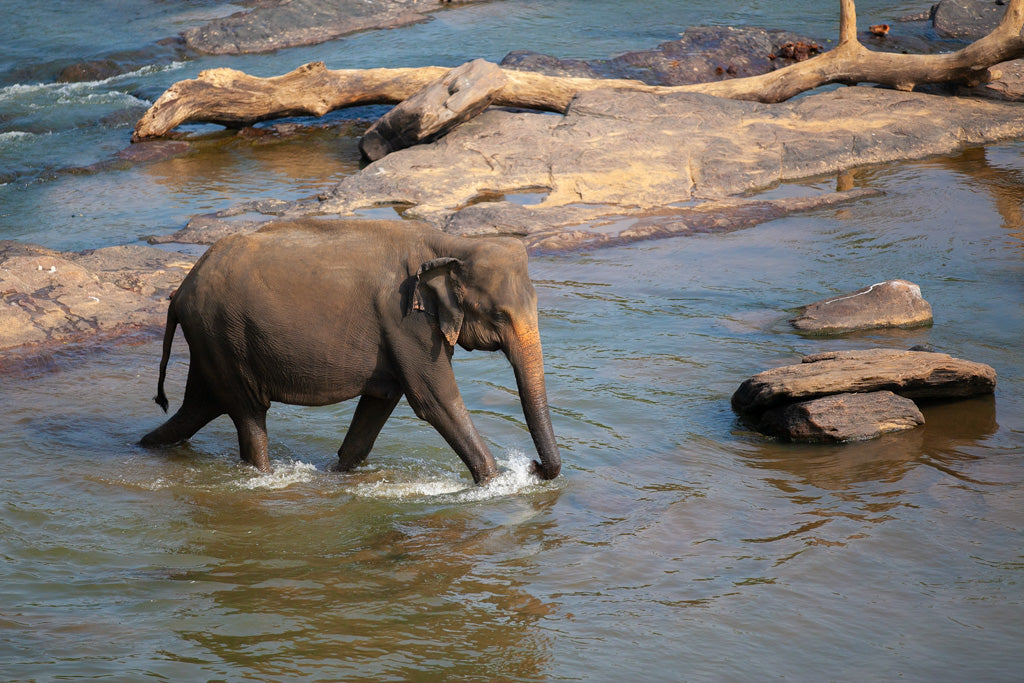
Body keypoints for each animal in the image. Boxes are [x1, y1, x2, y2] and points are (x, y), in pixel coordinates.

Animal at [138, 216, 561, 483]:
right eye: (499, 315)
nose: (534, 466)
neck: (452, 244)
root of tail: (180, 291)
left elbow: (381, 400)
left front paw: (336, 474)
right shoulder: (405, 320)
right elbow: (434, 401)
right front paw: (495, 483)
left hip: (212, 340)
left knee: (198, 407)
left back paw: (144, 447)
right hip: (222, 334)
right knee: (247, 413)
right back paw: (264, 475)